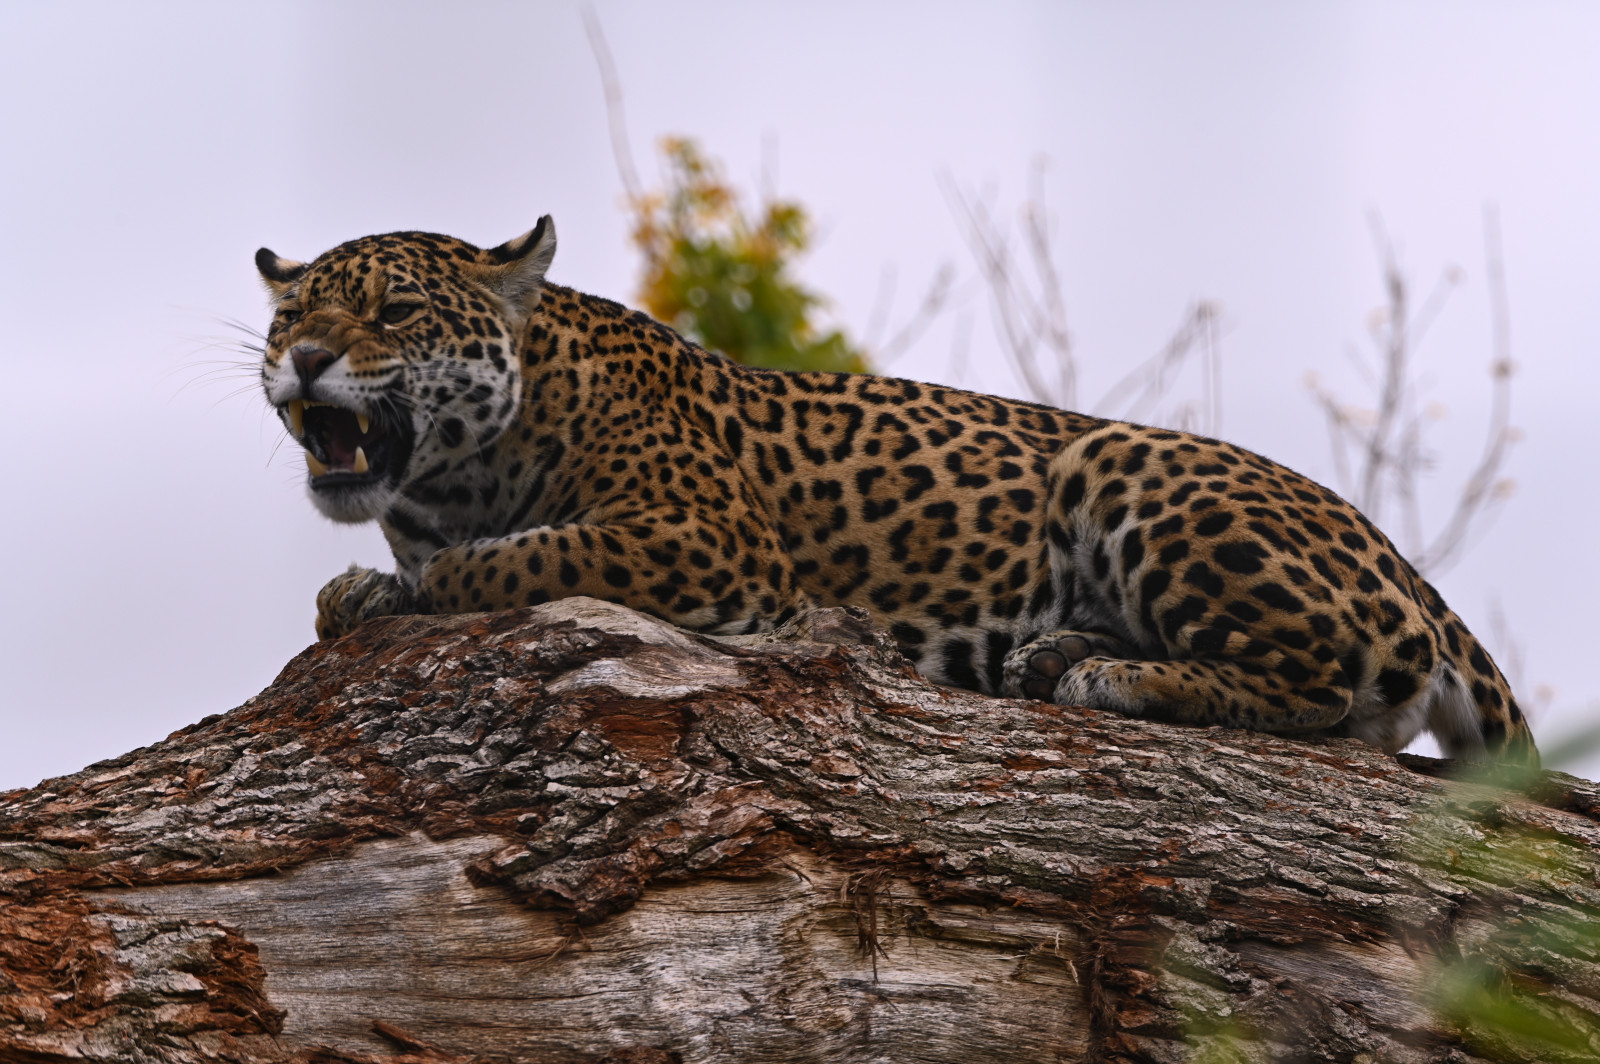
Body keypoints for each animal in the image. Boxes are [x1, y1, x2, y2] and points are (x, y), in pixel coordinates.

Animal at [255, 216, 1538, 765]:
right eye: (289, 315)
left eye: (394, 312)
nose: (303, 360)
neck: (455, 473)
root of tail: (1396, 554)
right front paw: (364, 588)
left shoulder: (709, 540)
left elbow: (523, 554)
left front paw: (420, 584)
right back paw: (1051, 653)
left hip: (1120, 459)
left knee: (1332, 693)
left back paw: (1110, 673)